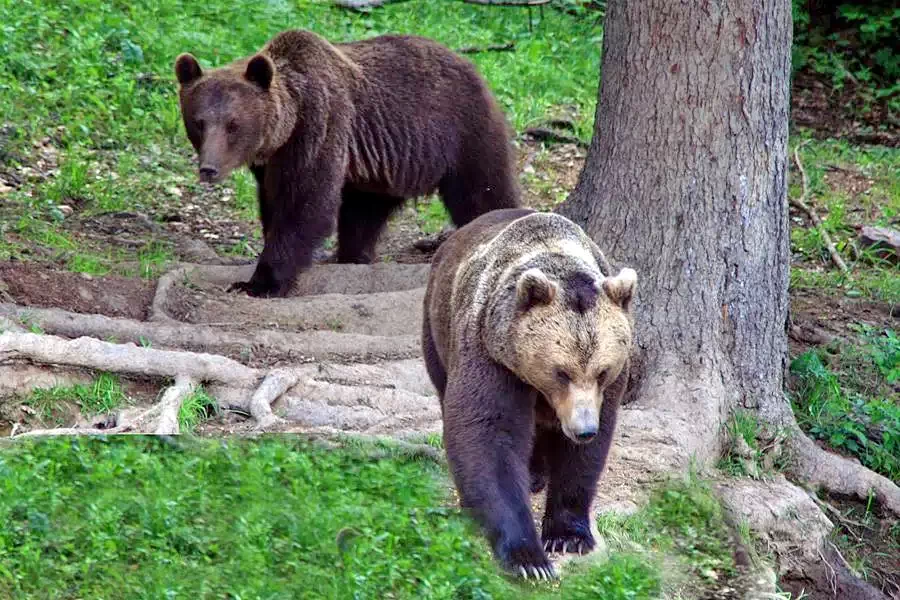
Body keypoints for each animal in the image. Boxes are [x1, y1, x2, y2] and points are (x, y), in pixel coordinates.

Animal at [174, 30, 520, 298]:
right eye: (199, 122)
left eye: (233, 125)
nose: (209, 168)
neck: (284, 129)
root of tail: (471, 65)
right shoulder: (272, 160)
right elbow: (274, 204)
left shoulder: (319, 127)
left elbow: (306, 204)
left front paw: (260, 282)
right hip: (384, 169)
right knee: (362, 215)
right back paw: (352, 256)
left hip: (462, 131)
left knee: (483, 193)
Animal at [426, 209, 636, 580]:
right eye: (561, 371)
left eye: (602, 371)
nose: (583, 429)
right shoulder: (490, 352)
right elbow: (488, 432)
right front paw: (529, 559)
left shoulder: (609, 389)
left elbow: (585, 456)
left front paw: (567, 535)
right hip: (437, 325)